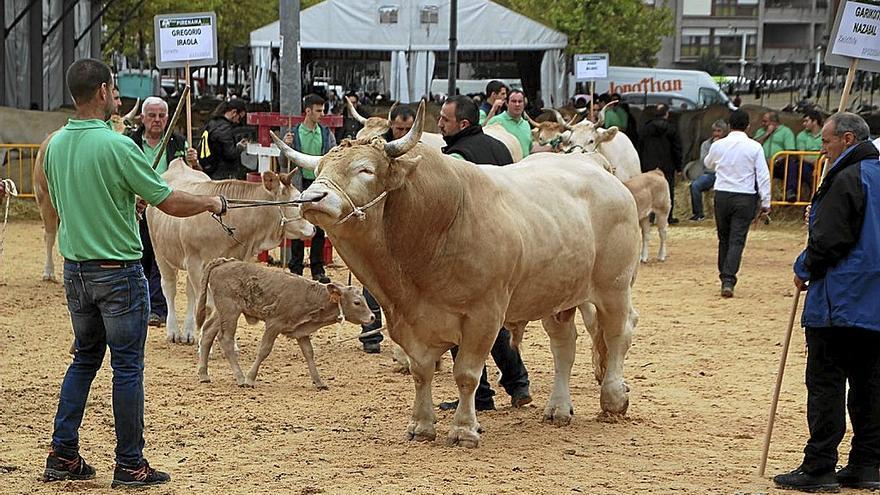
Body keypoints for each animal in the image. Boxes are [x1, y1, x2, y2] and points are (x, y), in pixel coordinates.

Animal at [149, 162, 316, 344]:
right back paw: (173, 331)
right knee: (169, 288)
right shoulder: (194, 262)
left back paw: (188, 332)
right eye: (297, 201)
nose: (314, 228)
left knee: (190, 291)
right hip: (160, 253)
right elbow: (208, 305)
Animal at [194, 258, 372, 390]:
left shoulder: (301, 331)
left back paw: (204, 374)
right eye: (357, 302)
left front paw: (319, 382)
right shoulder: (274, 324)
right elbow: (264, 350)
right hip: (230, 311)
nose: (372, 317)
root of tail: (223, 262)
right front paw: (250, 379)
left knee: (207, 333)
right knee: (226, 340)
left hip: (221, 313)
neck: (310, 296)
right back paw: (240, 377)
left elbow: (309, 353)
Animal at [274, 102, 640, 452]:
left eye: (365, 169)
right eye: (320, 170)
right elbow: (421, 372)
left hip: (614, 287)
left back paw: (613, 397)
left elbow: (466, 374)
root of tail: (599, 170)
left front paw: (464, 429)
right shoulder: (409, 320)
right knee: (564, 345)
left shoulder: (484, 316)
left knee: (618, 332)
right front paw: (421, 426)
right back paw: (559, 408)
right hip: (556, 296)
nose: (312, 198)